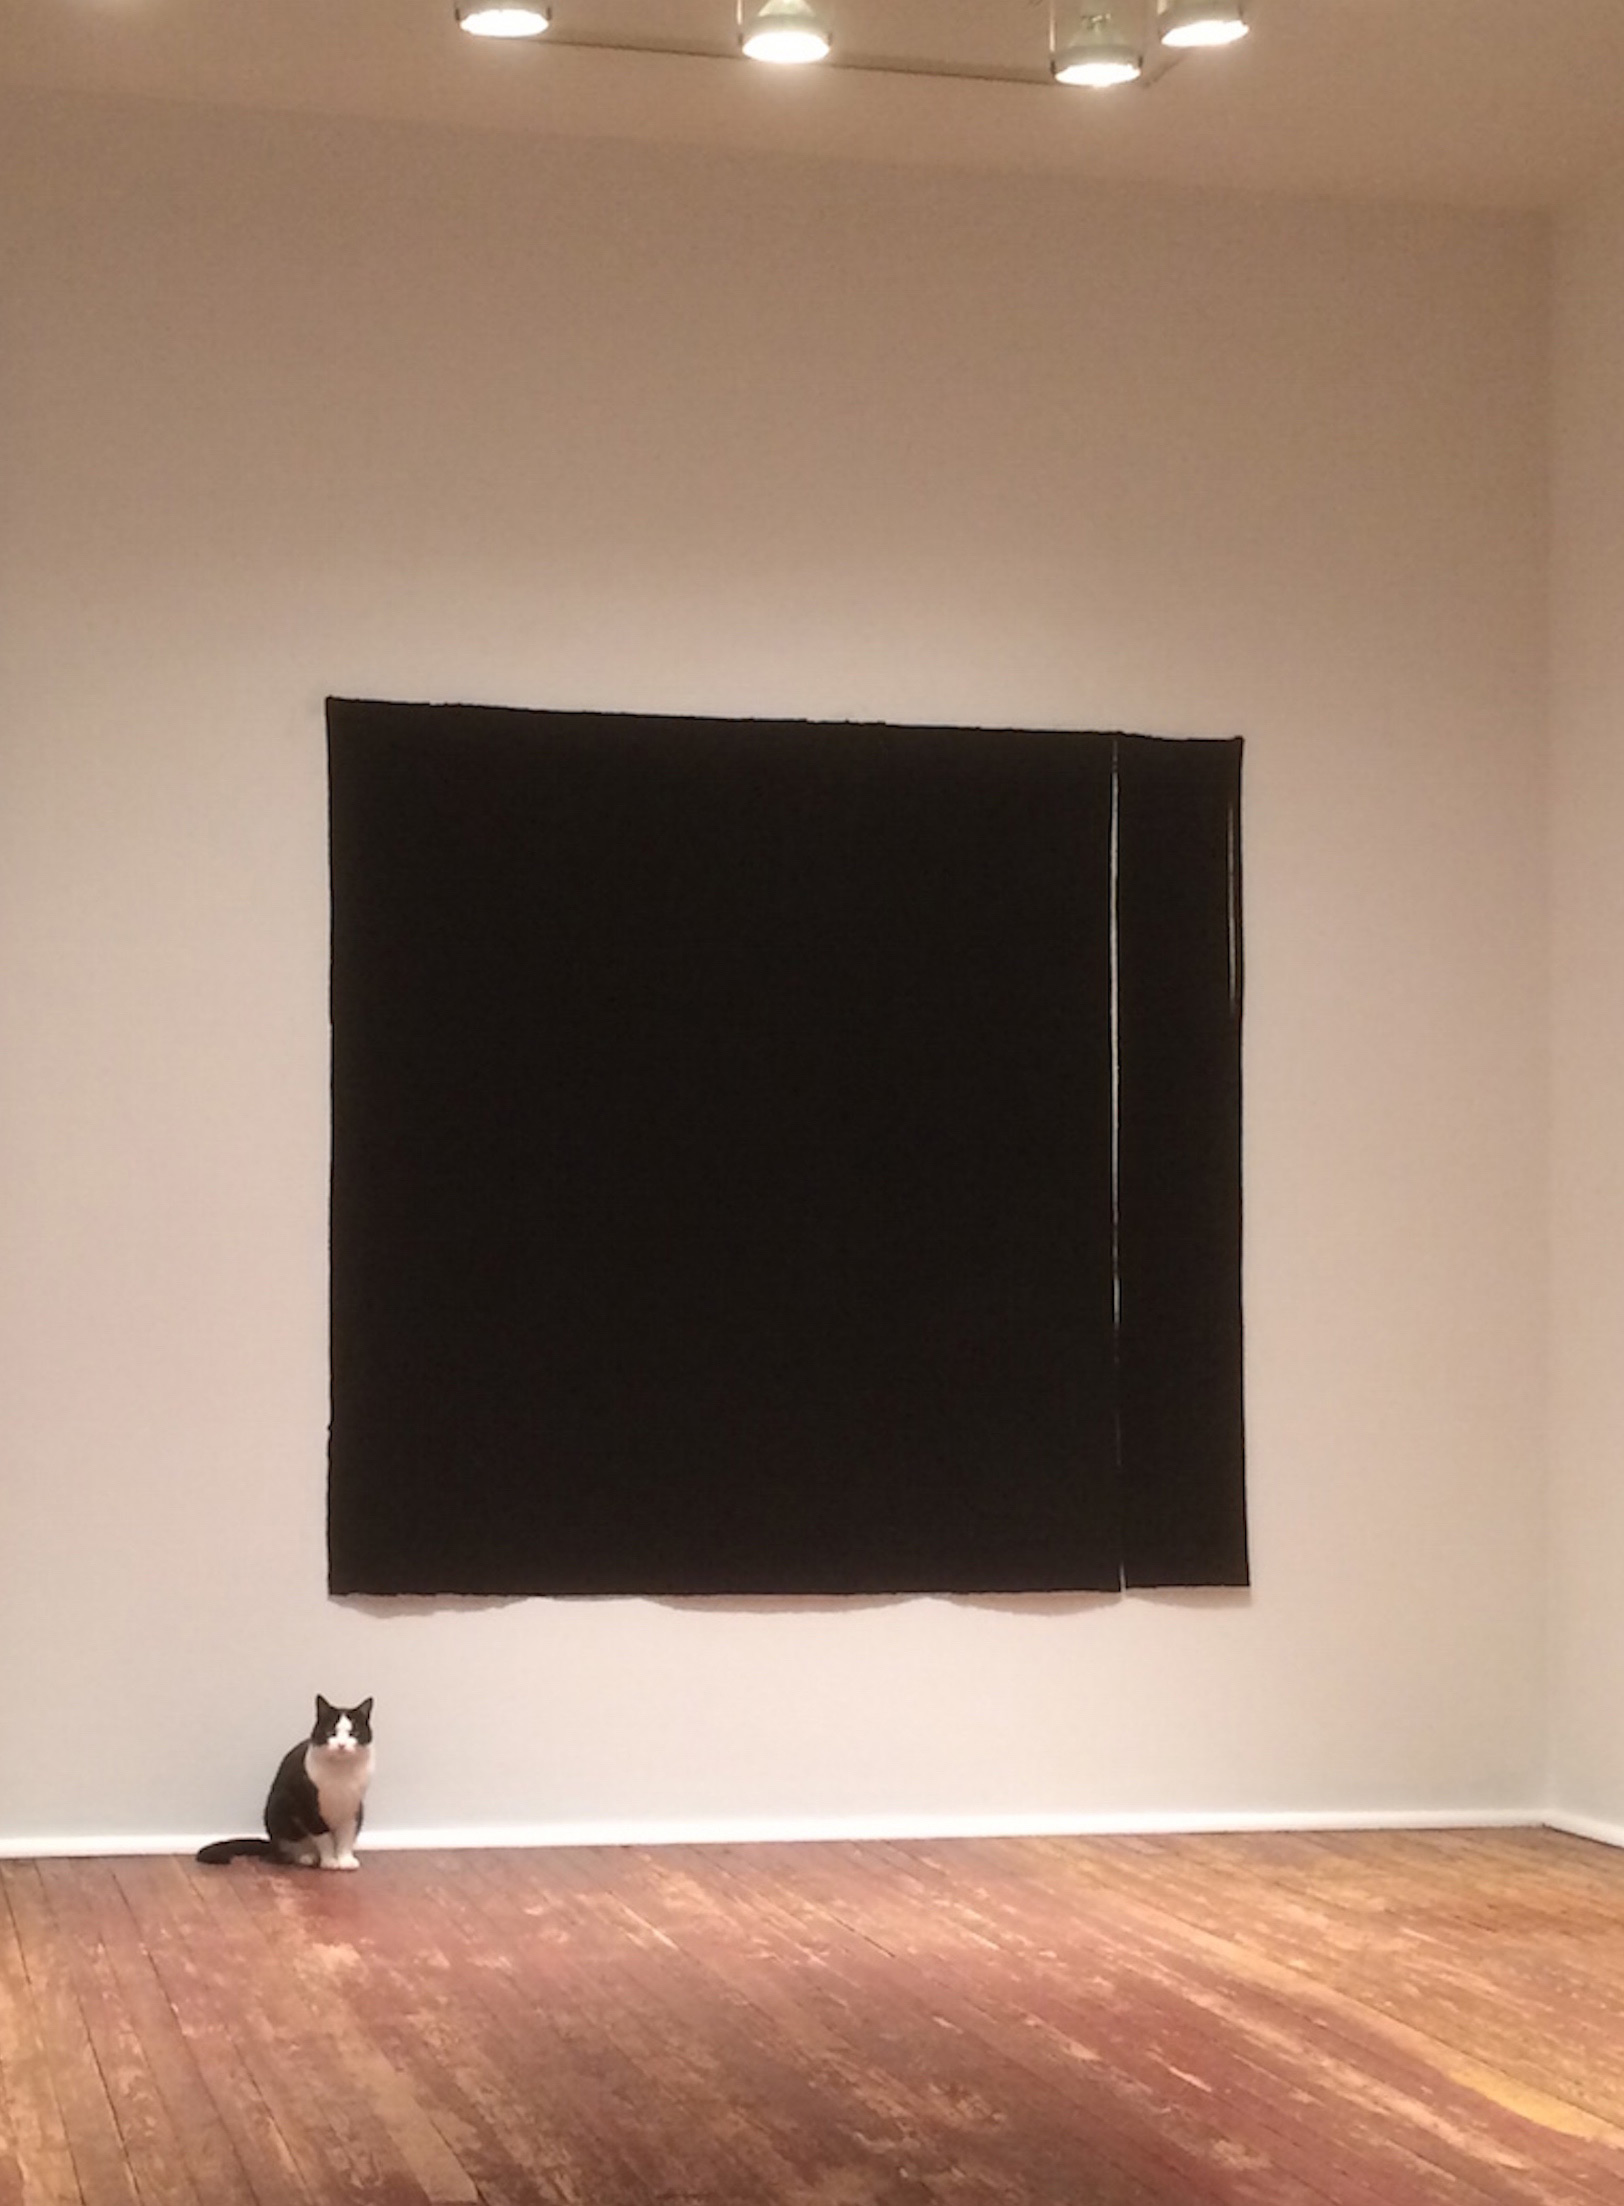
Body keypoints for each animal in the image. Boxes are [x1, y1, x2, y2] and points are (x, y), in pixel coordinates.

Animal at [196, 1695, 374, 1871]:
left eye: (354, 1733)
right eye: (330, 1732)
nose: (341, 1745)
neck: (341, 1772)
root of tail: (271, 1843)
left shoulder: (352, 1806)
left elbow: (346, 1836)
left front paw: (345, 1860)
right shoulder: (307, 1804)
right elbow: (324, 1836)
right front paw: (330, 1860)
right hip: (279, 1809)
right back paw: (307, 1856)